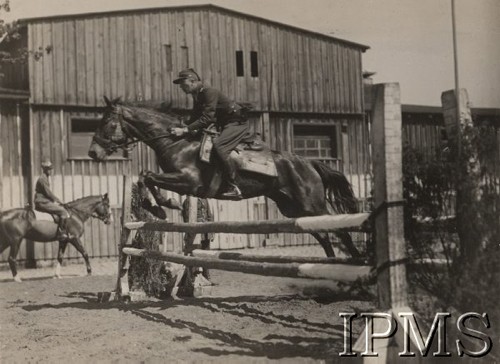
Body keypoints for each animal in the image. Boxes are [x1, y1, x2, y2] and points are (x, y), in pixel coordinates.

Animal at [90, 95, 362, 258]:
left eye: (107, 123)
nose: (93, 152)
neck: (177, 141)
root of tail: (310, 162)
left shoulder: (189, 181)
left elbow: (148, 176)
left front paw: (165, 205)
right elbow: (145, 177)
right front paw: (161, 207)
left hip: (311, 205)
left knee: (340, 231)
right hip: (294, 209)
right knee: (324, 236)